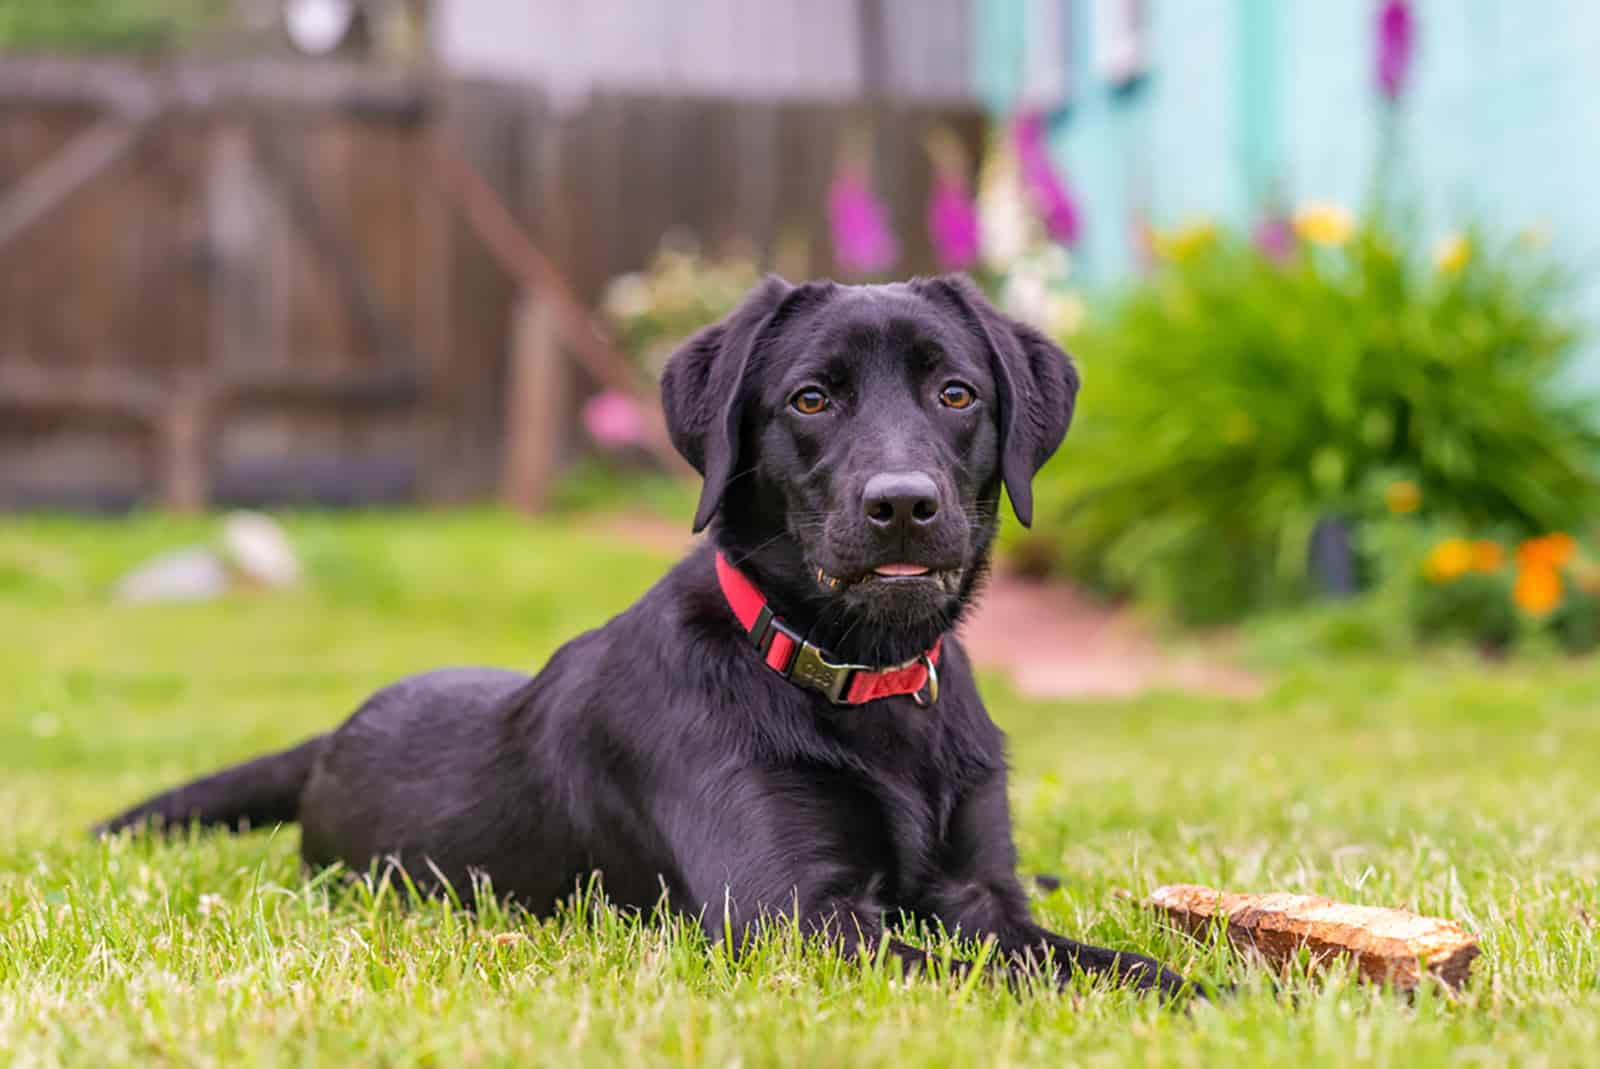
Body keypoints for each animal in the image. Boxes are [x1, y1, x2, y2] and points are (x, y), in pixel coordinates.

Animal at [100, 272, 1196, 998]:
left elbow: (1092, 959)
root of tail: (331, 735)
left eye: (956, 392)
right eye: (810, 397)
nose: (902, 506)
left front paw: (1207, 986)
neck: (861, 678)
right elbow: (1005, 976)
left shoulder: (980, 893)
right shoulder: (793, 918)